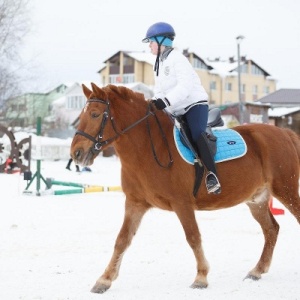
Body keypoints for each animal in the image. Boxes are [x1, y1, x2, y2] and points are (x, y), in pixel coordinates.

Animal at [70, 82, 300, 292]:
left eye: (94, 114)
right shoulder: (135, 203)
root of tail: (286, 133)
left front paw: (201, 277)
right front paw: (104, 280)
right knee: (271, 229)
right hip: (257, 200)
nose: (76, 154)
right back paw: (257, 270)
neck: (150, 148)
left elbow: (193, 237)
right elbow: (122, 240)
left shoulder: (182, 204)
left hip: (286, 190)